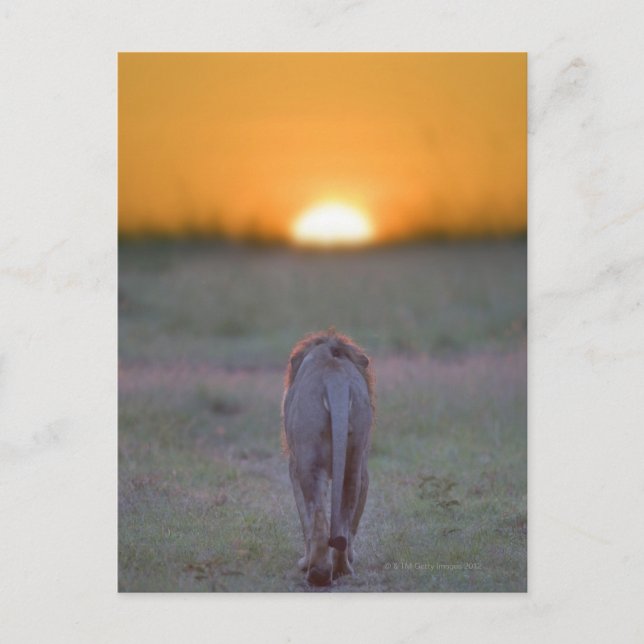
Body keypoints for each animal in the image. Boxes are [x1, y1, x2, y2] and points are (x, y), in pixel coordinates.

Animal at [282, 329, 374, 586]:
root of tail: (336, 378)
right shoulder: (365, 469)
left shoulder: (293, 466)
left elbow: (304, 518)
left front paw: (305, 562)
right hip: (354, 460)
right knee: (344, 516)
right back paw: (342, 568)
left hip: (309, 460)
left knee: (319, 518)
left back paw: (317, 572)